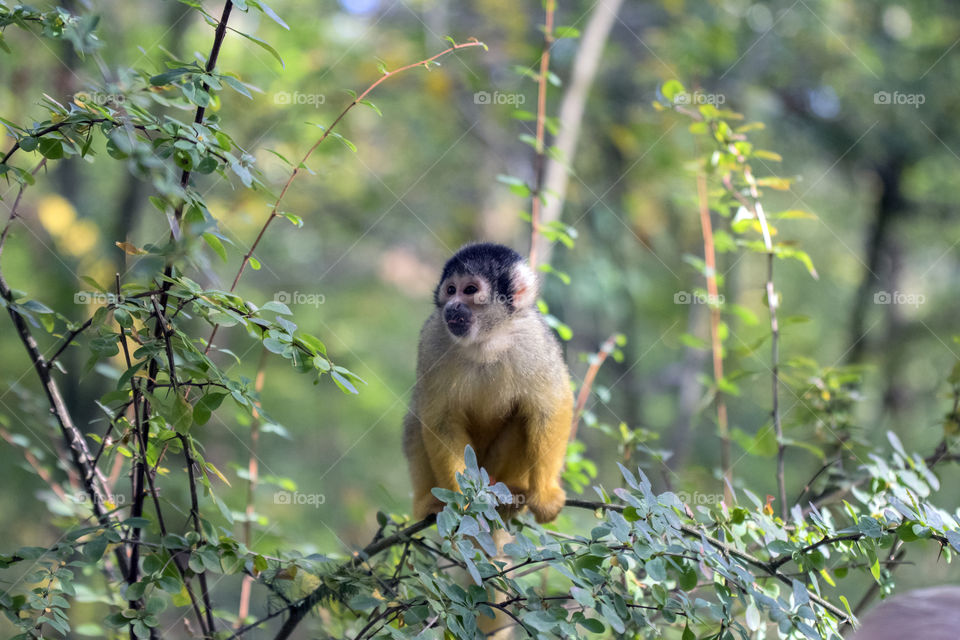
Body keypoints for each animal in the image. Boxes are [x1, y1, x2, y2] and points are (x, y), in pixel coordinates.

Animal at [402, 242, 573, 524]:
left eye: (470, 290)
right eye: (451, 290)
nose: (452, 306)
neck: (486, 340)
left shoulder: (534, 339)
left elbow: (549, 409)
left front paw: (545, 495)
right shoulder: (432, 338)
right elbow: (440, 420)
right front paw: (461, 499)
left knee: (524, 415)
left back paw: (513, 494)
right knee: (417, 418)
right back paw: (428, 502)